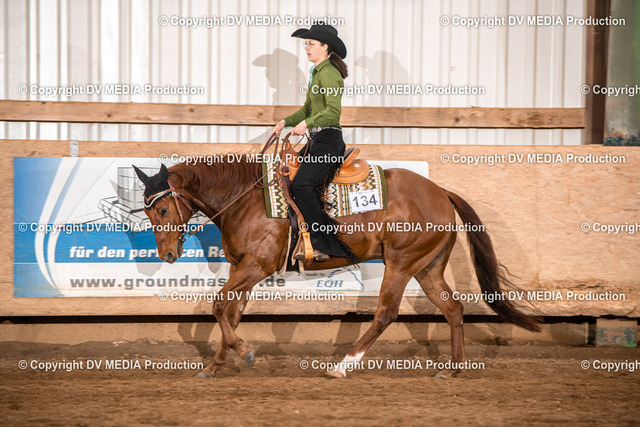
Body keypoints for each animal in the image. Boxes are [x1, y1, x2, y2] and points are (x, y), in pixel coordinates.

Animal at [133, 156, 540, 379]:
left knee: (386, 312)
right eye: (148, 211)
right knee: (453, 309)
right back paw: (452, 368)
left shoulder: (256, 267)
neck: (245, 197)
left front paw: (244, 352)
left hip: (401, 264)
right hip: (427, 268)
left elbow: (220, 305)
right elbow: (229, 312)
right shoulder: (241, 270)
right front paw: (216, 364)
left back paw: (343, 365)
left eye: (164, 209)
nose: (166, 254)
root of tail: (441, 192)